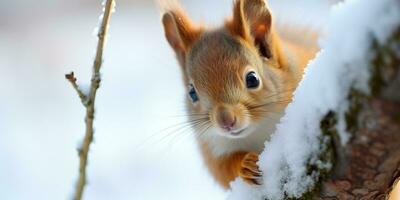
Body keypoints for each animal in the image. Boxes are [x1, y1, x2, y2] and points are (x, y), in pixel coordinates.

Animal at [161, 0, 318, 188]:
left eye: (252, 79)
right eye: (192, 93)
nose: (226, 121)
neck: (259, 128)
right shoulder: (213, 149)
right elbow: (224, 171)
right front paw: (245, 165)